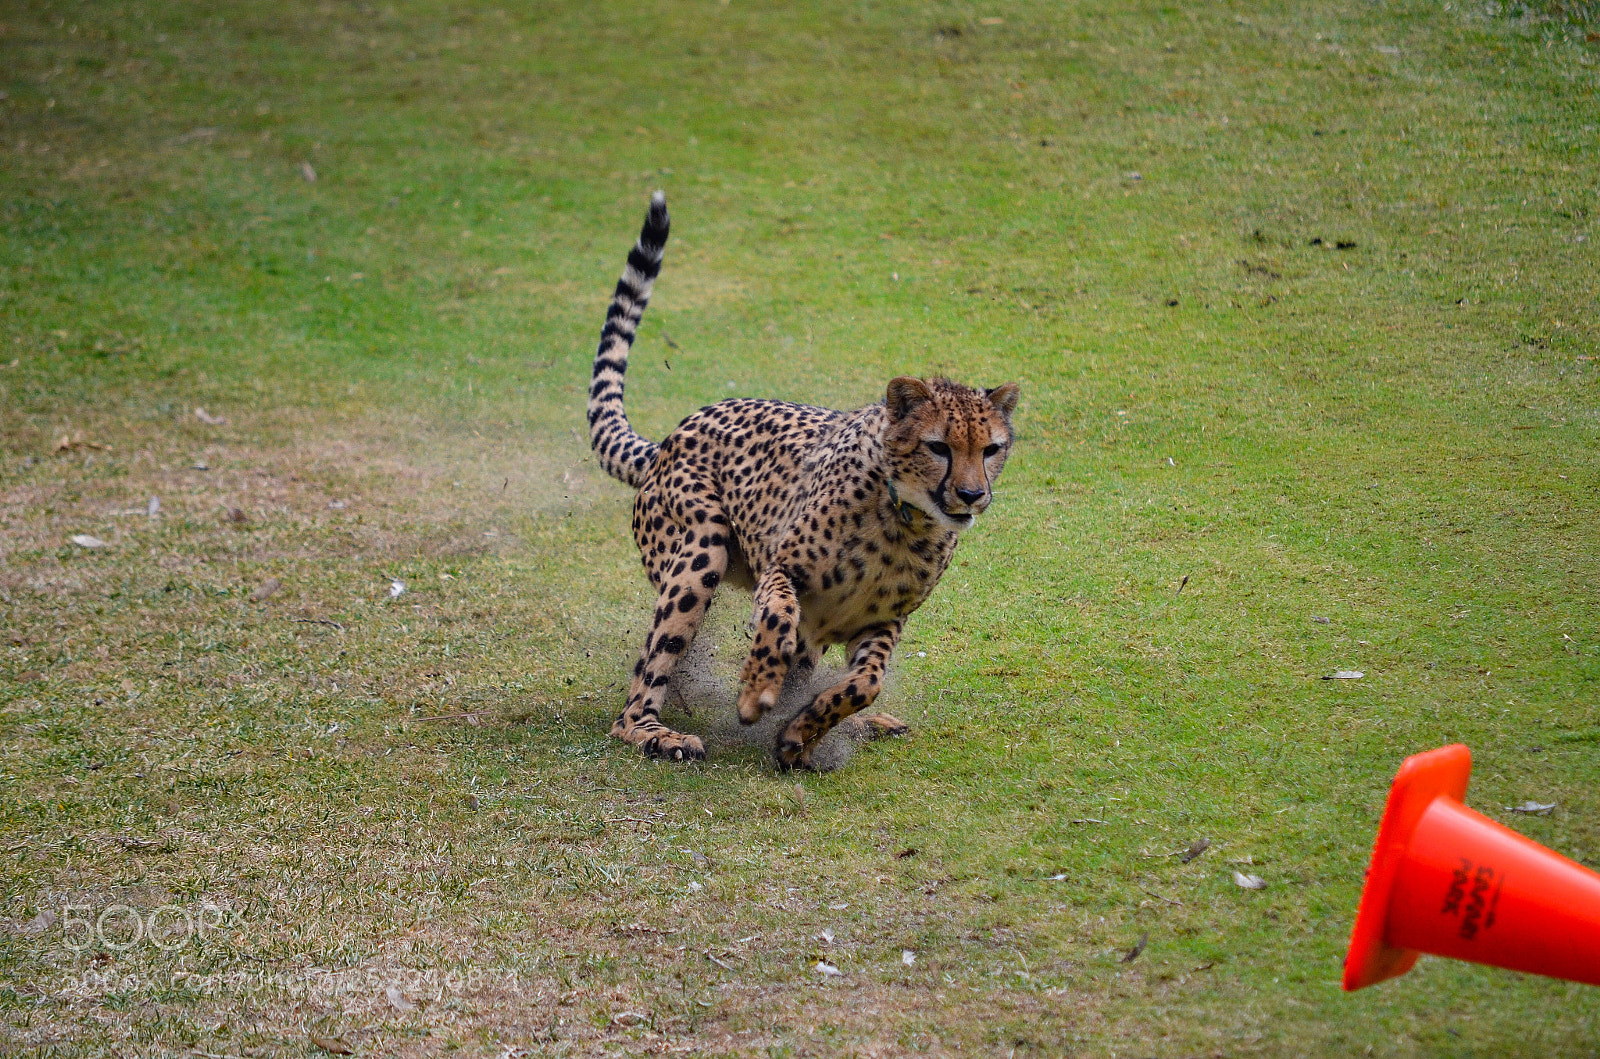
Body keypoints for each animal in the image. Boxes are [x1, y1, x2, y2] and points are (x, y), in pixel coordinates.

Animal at [588, 191, 1019, 769]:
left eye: (990, 449)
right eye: (939, 447)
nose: (972, 495)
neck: (903, 518)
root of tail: (671, 438)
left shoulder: (882, 623)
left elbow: (865, 682)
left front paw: (800, 733)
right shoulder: (779, 569)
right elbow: (778, 618)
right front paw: (754, 695)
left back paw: (855, 725)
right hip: (702, 546)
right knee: (644, 686)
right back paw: (655, 732)